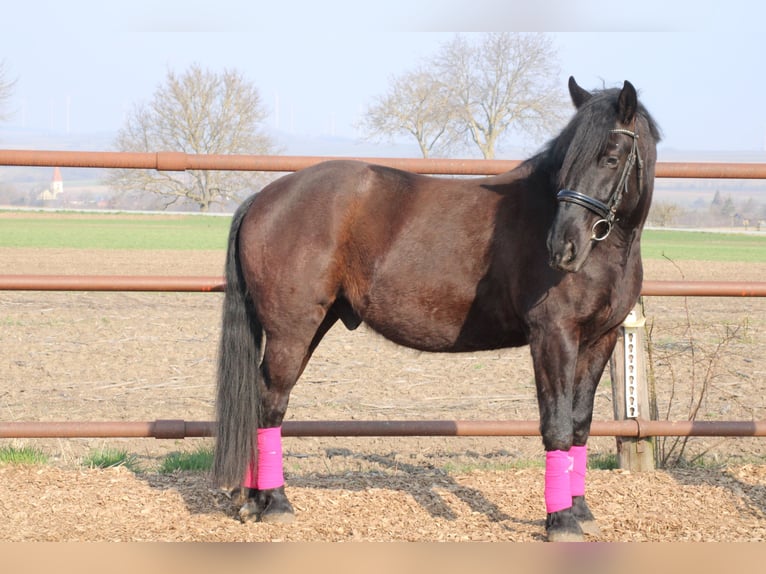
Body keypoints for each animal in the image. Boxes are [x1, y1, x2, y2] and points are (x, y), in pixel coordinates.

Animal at [212, 76, 660, 542]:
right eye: (567, 161)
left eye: (611, 158)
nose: (562, 247)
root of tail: (264, 196)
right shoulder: (553, 336)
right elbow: (555, 425)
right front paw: (562, 521)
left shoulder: (600, 340)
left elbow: (579, 424)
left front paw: (581, 510)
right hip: (292, 330)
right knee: (271, 402)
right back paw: (276, 501)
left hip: (311, 326)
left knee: (261, 398)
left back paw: (254, 500)